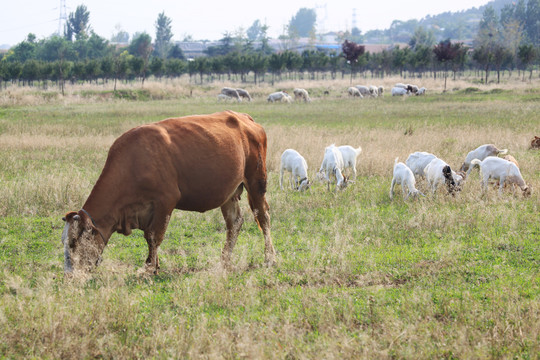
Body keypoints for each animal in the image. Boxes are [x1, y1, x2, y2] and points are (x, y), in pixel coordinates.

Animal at [61, 111, 276, 274]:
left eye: (73, 242)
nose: (69, 275)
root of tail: (243, 117)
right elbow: (149, 237)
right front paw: (153, 265)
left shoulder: (165, 202)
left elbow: (154, 236)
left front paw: (149, 268)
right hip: (229, 192)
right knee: (235, 223)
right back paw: (225, 261)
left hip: (256, 182)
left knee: (263, 217)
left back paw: (269, 258)